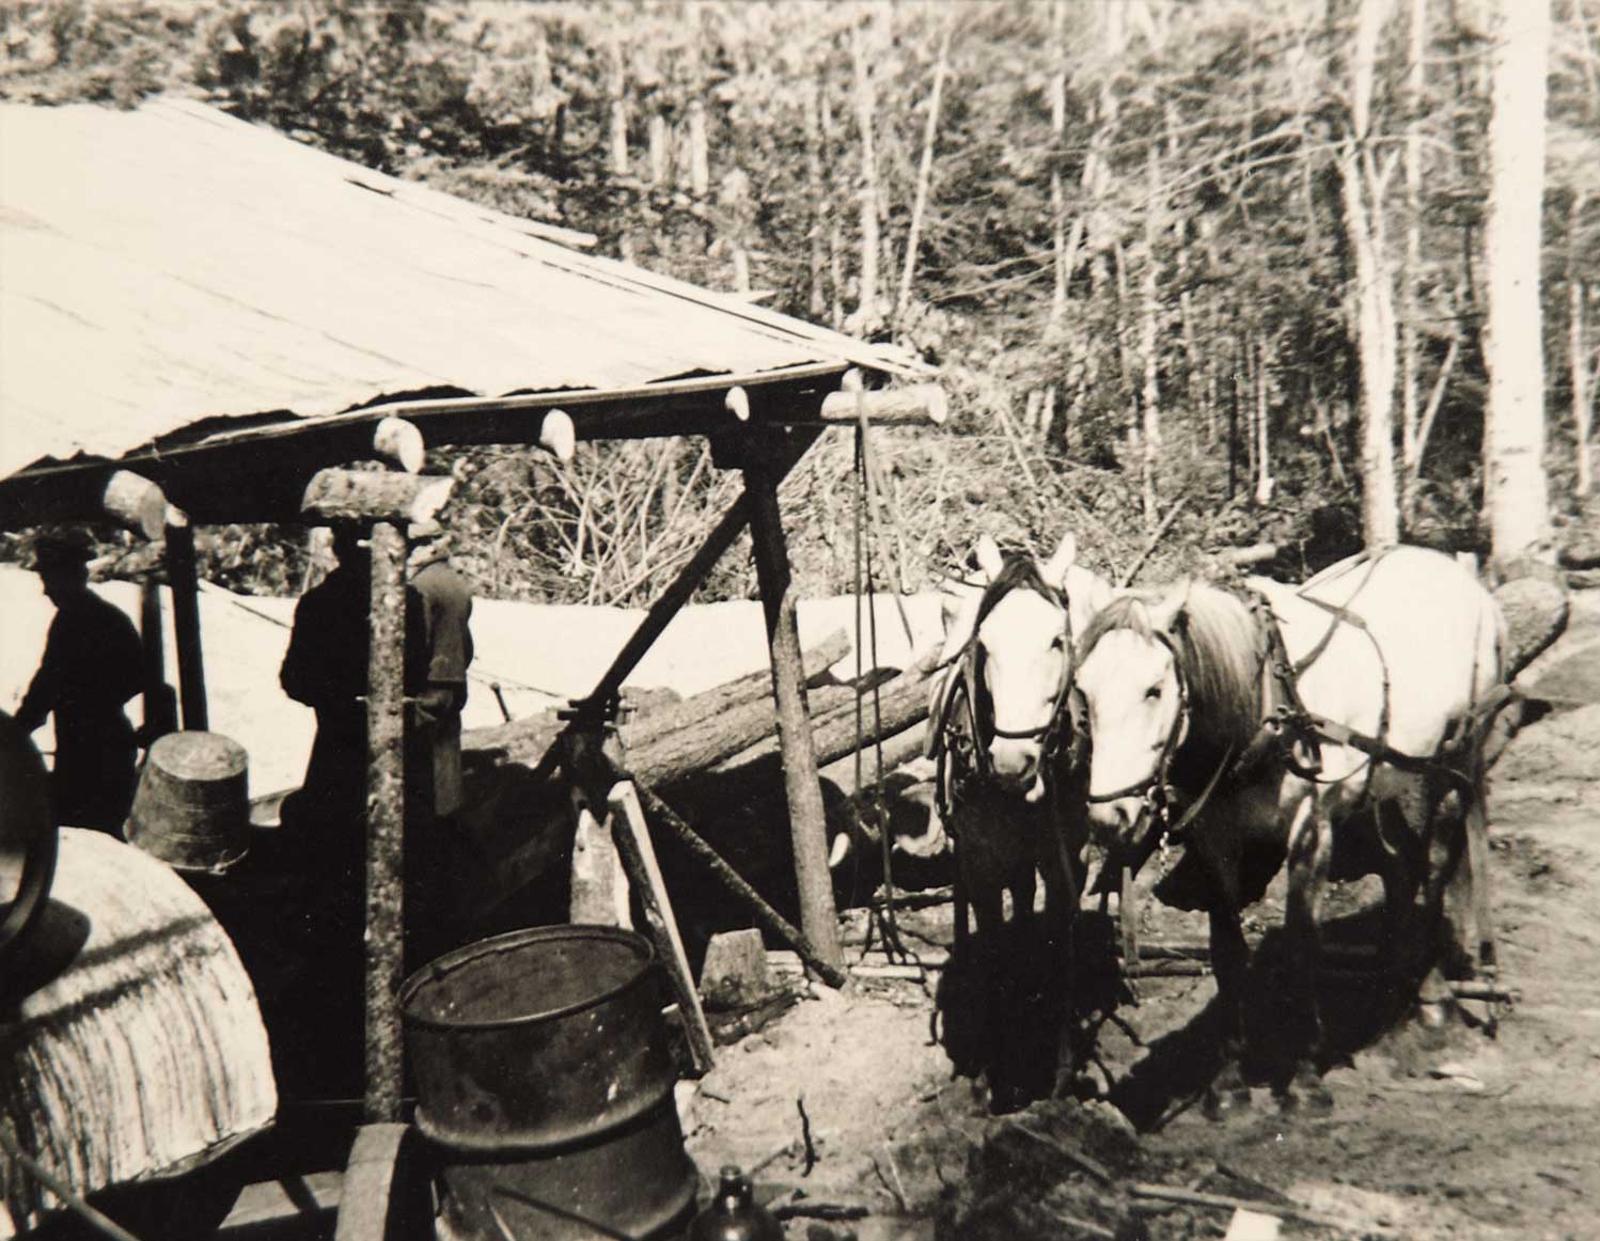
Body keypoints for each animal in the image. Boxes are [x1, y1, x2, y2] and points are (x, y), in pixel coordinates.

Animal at [1068, 550, 1504, 1113]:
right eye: (1084, 691)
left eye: (1154, 689)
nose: (1109, 818)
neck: (1264, 707)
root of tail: (1455, 572)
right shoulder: (1216, 840)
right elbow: (1227, 950)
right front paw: (1229, 1081)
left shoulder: (1311, 829)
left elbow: (1301, 943)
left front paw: (1303, 1074)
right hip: (1384, 789)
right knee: (1400, 869)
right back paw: (1387, 995)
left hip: (1453, 765)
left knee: (1435, 870)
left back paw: (1431, 1003)